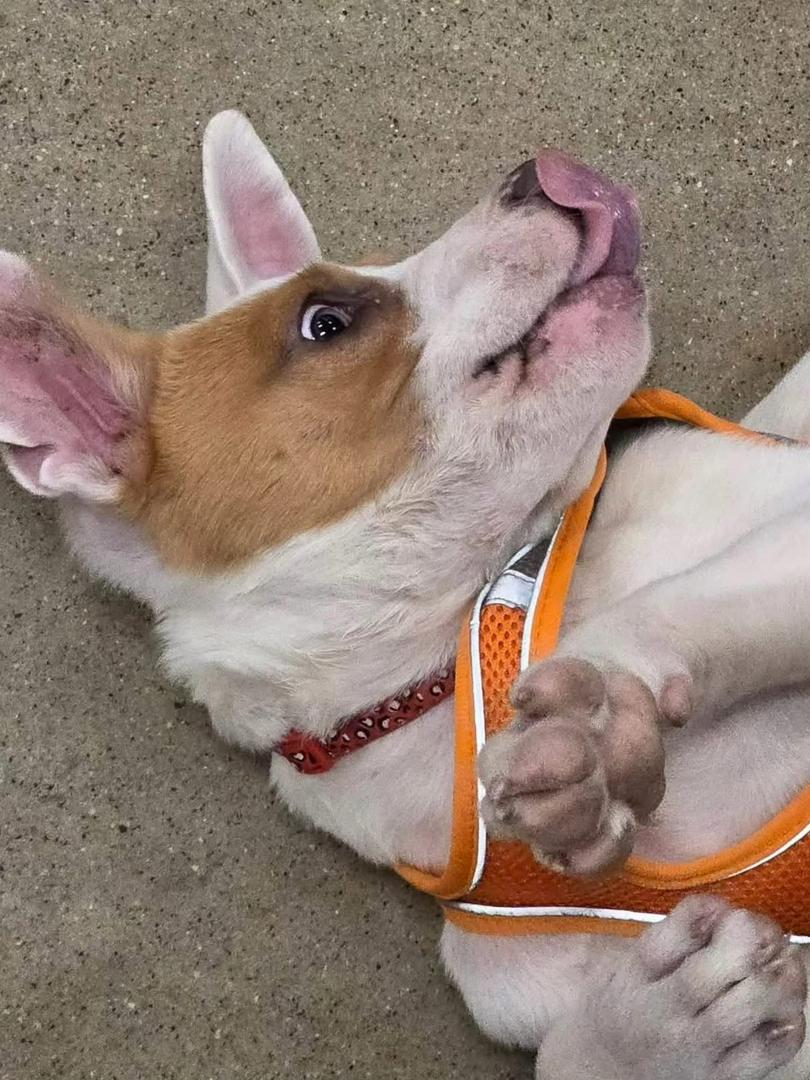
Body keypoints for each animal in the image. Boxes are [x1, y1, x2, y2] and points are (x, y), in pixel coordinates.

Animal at [2, 110, 810, 1080]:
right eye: (326, 322)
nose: (537, 172)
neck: (445, 663)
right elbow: (567, 1054)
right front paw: (654, 1029)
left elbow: (683, 608)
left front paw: (600, 717)